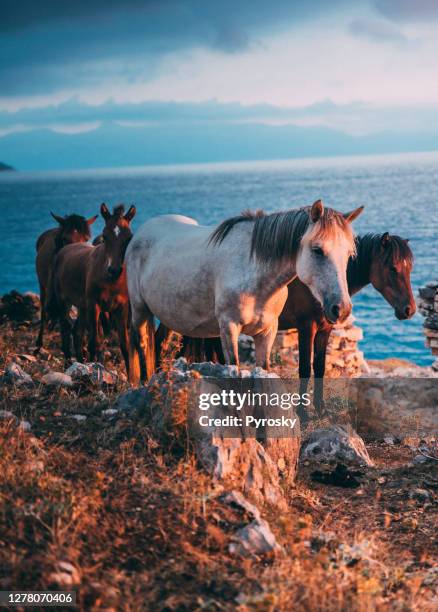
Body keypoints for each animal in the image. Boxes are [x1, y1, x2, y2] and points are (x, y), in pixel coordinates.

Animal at [35, 212, 98, 352]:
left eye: (86, 239)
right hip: (42, 287)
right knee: (44, 312)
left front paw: (83, 347)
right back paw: (39, 343)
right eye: (65, 239)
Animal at [52, 204, 136, 372]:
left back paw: (79, 362)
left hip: (82, 307)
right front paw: (93, 369)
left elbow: (124, 345)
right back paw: (68, 364)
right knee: (66, 330)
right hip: (64, 302)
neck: (111, 281)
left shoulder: (121, 308)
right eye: (105, 235)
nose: (114, 270)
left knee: (77, 332)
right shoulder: (94, 306)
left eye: (128, 237)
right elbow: (94, 342)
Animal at [126, 201, 362, 382]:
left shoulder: (267, 332)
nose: (341, 309)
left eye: (349, 254)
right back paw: (144, 381)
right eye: (317, 250)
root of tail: (141, 233)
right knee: (142, 343)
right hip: (139, 309)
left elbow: (263, 371)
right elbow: (235, 368)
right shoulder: (229, 328)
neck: (256, 275)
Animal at [157, 232, 414, 414]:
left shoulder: (325, 329)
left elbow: (320, 368)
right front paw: (303, 413)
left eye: (409, 268)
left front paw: (320, 409)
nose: (409, 309)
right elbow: (305, 368)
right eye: (393, 268)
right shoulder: (306, 327)